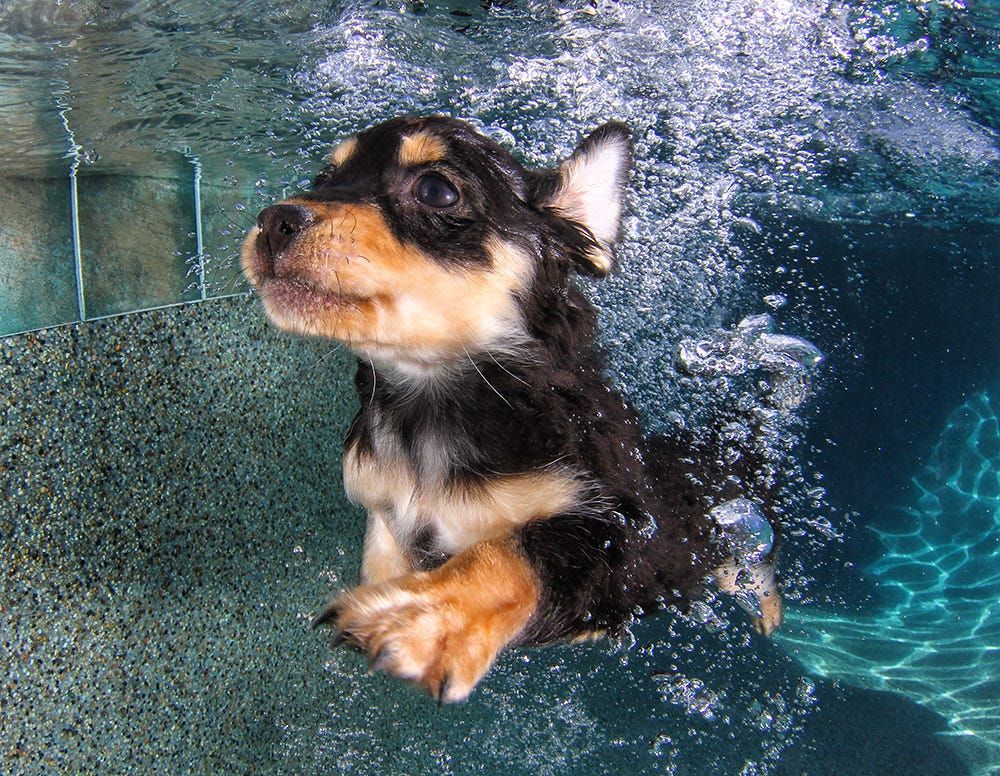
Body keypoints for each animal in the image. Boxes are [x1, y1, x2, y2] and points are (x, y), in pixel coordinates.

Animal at [240, 115, 780, 704]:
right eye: (324, 178)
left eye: (436, 191)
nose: (274, 220)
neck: (428, 406)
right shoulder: (384, 508)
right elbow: (383, 560)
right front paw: (403, 595)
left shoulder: (621, 540)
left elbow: (512, 554)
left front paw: (425, 616)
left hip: (727, 521)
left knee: (753, 552)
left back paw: (767, 605)